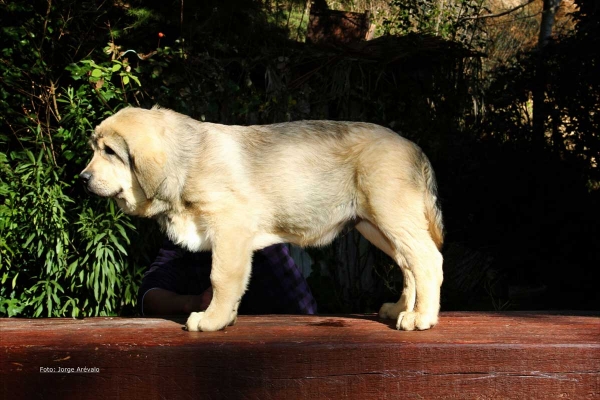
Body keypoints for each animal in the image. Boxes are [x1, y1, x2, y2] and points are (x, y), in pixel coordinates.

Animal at [79, 106, 442, 332]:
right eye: (95, 149)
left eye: (110, 152)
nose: (82, 178)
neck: (186, 159)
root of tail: (415, 148)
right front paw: (225, 316)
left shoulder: (229, 228)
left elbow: (221, 278)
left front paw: (212, 319)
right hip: (376, 226)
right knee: (408, 265)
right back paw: (402, 309)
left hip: (392, 215)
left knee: (426, 260)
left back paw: (421, 317)